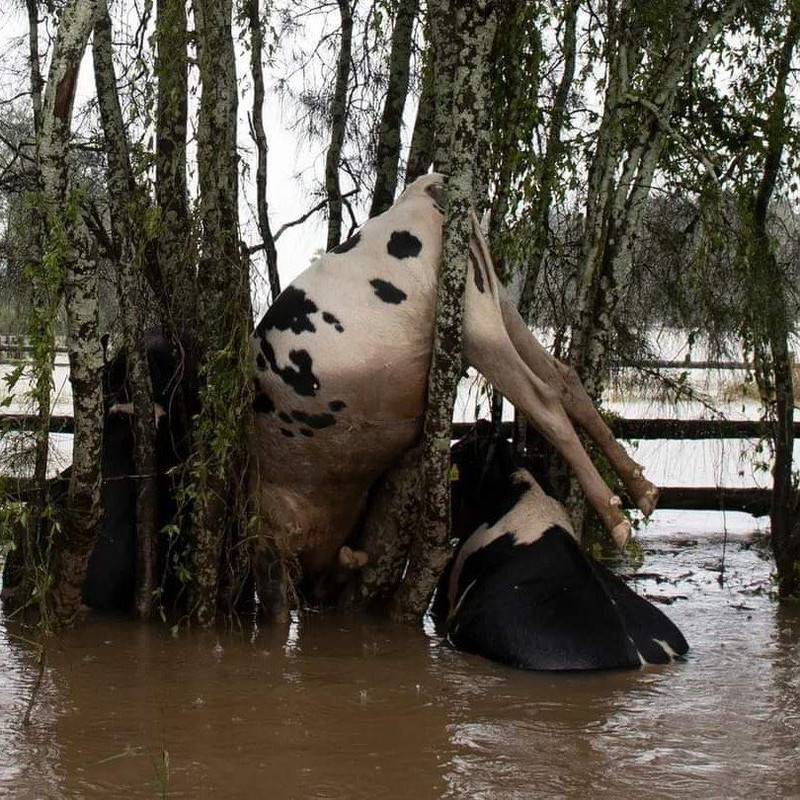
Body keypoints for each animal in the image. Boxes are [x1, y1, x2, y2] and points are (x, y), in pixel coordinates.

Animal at [252, 173, 664, 612]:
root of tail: (421, 189)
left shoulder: (274, 531)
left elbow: (280, 596)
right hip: (494, 301)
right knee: (564, 379)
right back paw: (643, 491)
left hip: (470, 326)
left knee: (543, 400)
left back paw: (617, 520)